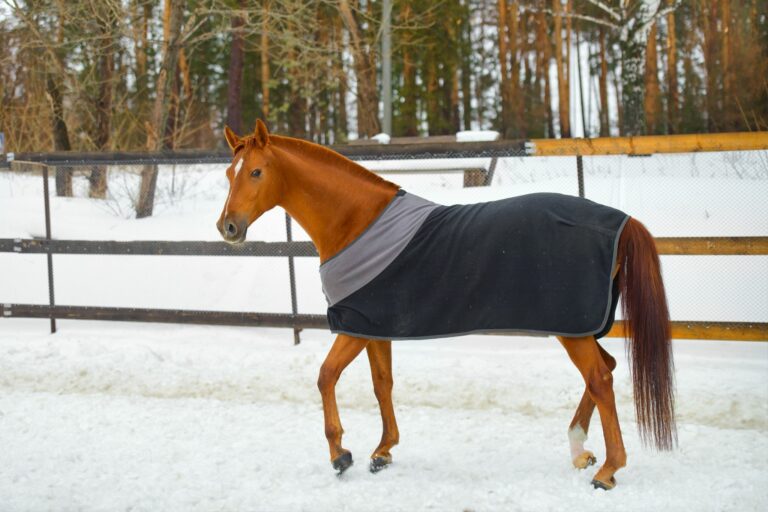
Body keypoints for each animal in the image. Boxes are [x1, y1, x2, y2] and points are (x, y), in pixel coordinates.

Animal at [216, 120, 676, 490]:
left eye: (256, 172)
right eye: (228, 173)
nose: (228, 227)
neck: (356, 223)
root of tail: (619, 221)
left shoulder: (352, 325)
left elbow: (326, 376)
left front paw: (340, 455)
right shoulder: (374, 326)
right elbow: (382, 384)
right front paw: (383, 451)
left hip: (571, 326)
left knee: (600, 377)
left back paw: (608, 471)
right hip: (577, 326)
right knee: (605, 370)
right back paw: (579, 451)